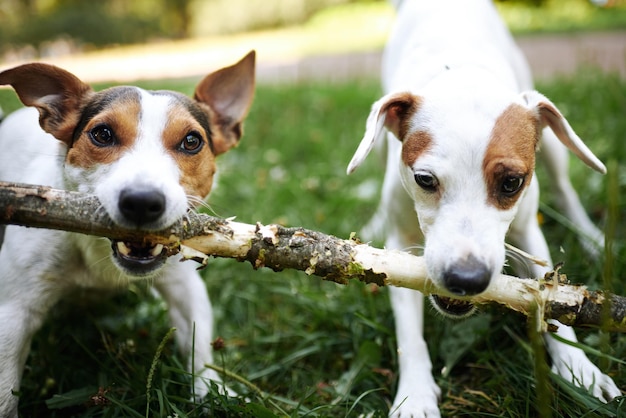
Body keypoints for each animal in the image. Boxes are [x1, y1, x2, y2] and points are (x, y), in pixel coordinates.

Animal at [0, 49, 256, 414]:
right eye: (102, 134)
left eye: (192, 141)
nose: (142, 201)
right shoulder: (13, 313)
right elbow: (6, 390)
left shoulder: (185, 286)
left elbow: (198, 345)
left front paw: (210, 391)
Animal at [346, 1, 620, 416]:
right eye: (424, 179)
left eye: (512, 183)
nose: (467, 278)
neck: (461, 73)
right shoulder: (399, 243)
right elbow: (409, 332)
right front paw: (415, 394)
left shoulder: (529, 234)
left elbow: (550, 301)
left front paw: (579, 369)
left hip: (554, 145)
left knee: (565, 189)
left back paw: (590, 237)